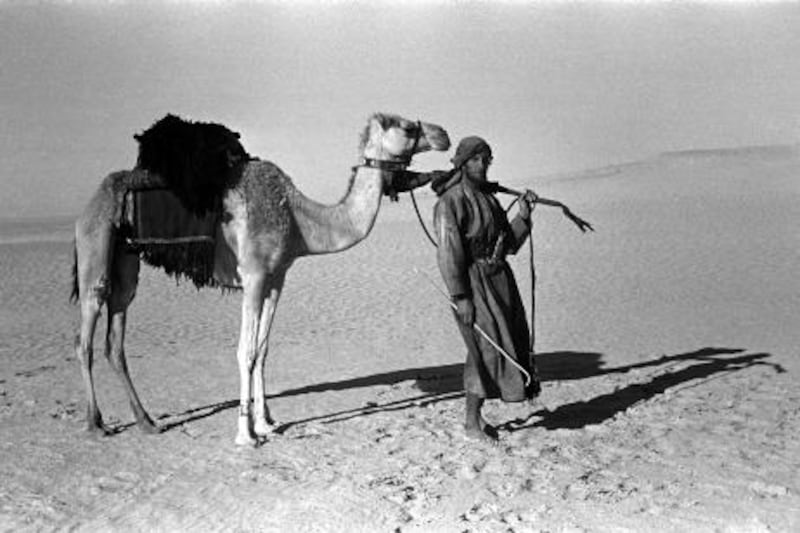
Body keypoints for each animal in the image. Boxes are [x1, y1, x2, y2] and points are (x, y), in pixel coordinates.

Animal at [72, 112, 450, 444]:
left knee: (116, 335)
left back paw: (147, 422)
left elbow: (264, 350)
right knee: (86, 334)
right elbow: (246, 352)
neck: (298, 218)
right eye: (407, 126)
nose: (443, 134)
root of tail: (87, 204)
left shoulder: (276, 278)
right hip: (95, 242)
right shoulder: (253, 276)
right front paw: (246, 434)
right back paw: (95, 425)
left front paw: (266, 422)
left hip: (126, 259)